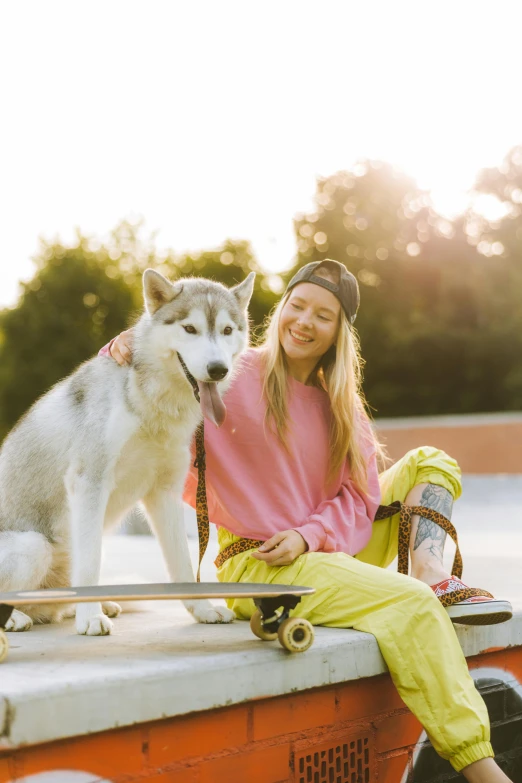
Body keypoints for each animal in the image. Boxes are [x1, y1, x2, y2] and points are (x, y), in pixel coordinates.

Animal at [0, 270, 254, 636]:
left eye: (227, 331)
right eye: (190, 329)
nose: (218, 369)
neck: (152, 404)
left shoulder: (164, 493)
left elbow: (182, 563)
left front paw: (202, 610)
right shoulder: (89, 483)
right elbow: (89, 564)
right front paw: (90, 618)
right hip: (33, 545)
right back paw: (18, 617)